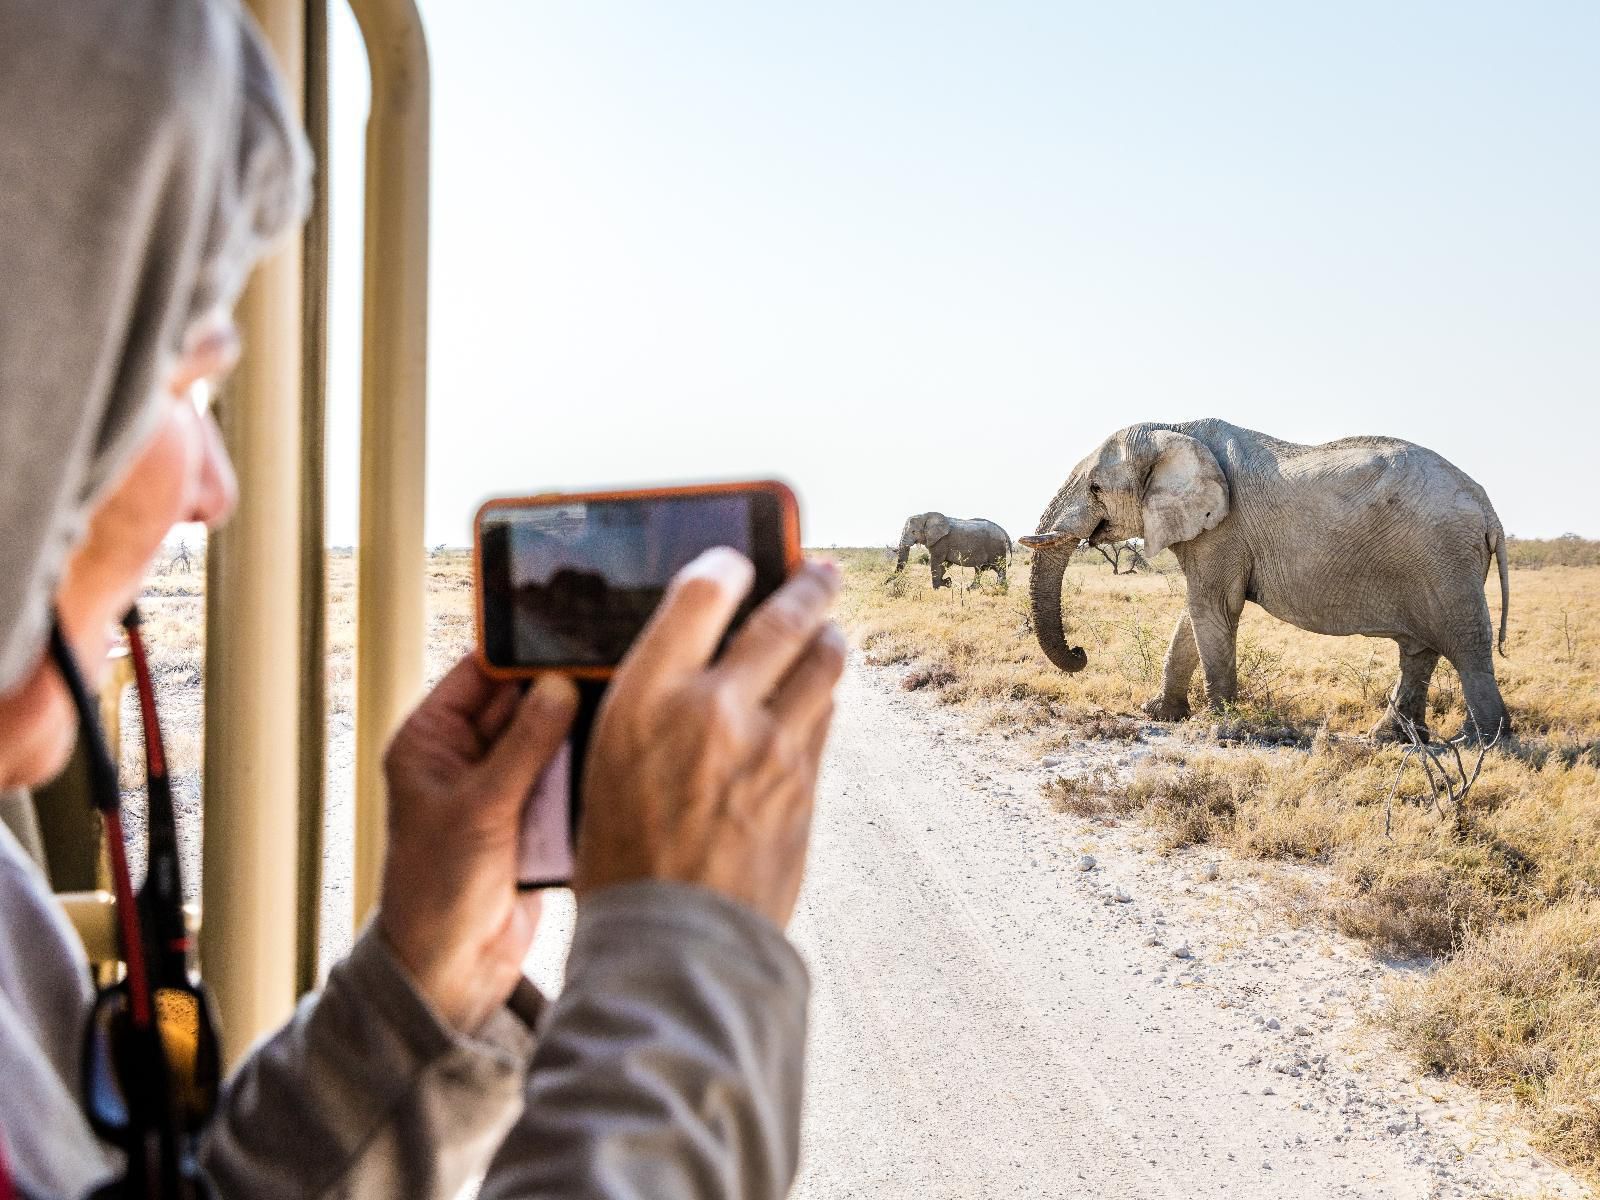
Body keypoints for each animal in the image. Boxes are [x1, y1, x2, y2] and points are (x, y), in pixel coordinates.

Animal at [1024, 419, 1510, 742]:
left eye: (1095, 488)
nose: (1080, 653)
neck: (1175, 429)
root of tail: (1490, 510)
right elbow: (1193, 616)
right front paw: (1160, 713)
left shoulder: (1224, 528)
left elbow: (1212, 609)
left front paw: (1220, 725)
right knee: (1418, 652)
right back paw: (1390, 738)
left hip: (1445, 559)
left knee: (1466, 644)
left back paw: (1483, 743)